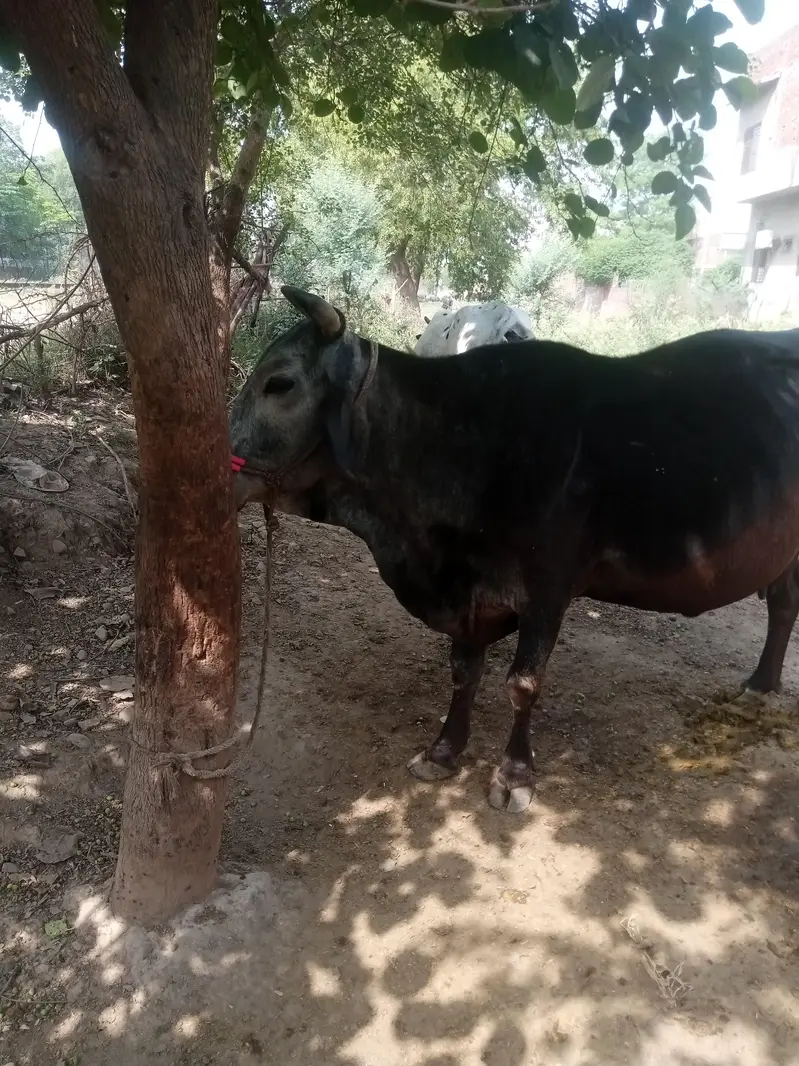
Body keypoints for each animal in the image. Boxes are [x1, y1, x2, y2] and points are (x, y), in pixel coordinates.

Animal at [230, 287, 799, 813]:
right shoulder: (471, 594)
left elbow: (523, 683)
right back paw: (762, 683)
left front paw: (513, 775)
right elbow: (464, 671)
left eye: (279, 382)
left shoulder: (548, 592)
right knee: (783, 604)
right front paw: (443, 751)